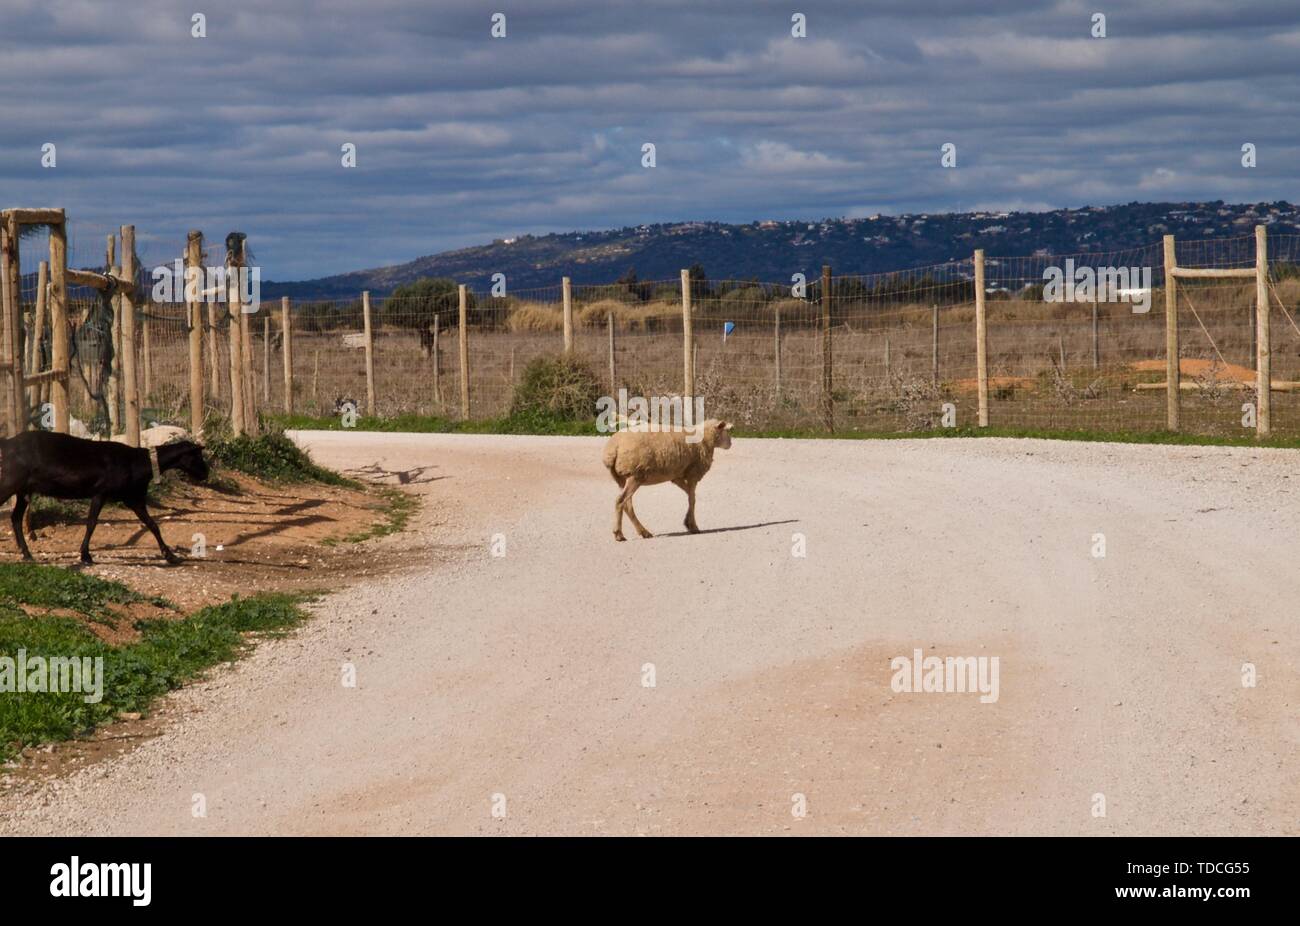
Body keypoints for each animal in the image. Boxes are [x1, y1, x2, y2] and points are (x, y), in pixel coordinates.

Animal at [0, 431, 209, 565]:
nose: (206, 473)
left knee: (16, 517)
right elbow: (91, 523)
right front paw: (86, 556)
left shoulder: (132, 498)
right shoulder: (101, 492)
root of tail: (8, 443)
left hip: (22, 489)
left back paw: (27, 554)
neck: (141, 463)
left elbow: (152, 525)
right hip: (10, 482)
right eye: (197, 456)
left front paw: (171, 556)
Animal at [601, 419, 733, 541]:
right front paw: (693, 526)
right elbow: (692, 499)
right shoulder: (693, 473)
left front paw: (688, 522)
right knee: (620, 501)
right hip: (635, 475)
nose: (731, 444)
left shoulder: (677, 476)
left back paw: (644, 532)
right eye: (726, 431)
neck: (704, 439)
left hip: (622, 478)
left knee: (627, 505)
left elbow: (690, 495)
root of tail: (613, 449)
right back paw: (619, 534)